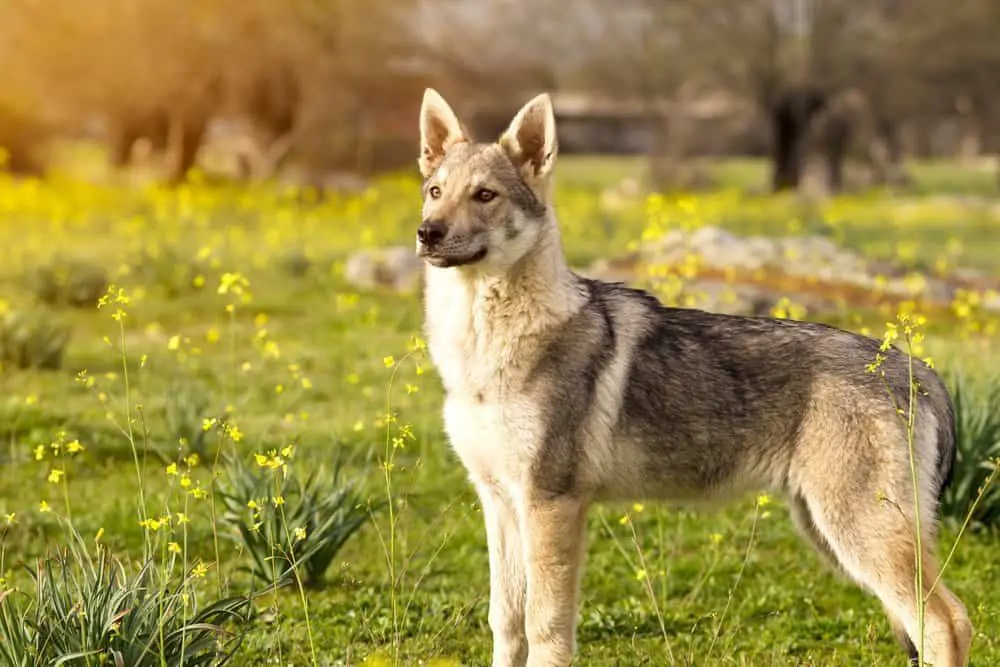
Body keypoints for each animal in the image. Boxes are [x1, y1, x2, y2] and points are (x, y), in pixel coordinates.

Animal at [410, 90, 972, 667]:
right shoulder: (498, 502)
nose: (426, 232)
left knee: (947, 621)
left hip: (857, 536)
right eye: (435, 192)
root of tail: (916, 368)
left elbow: (546, 630)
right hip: (827, 531)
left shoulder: (550, 505)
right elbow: (507, 623)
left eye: (485, 195)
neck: (482, 348)